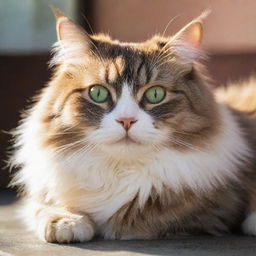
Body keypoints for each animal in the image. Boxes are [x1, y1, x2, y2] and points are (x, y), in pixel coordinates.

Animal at [9, 8, 256, 243]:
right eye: (98, 93)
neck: (120, 170)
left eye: (155, 94)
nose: (126, 120)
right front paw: (66, 222)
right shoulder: (41, 194)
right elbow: (43, 207)